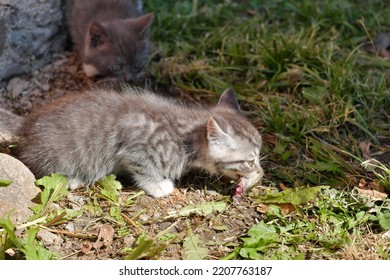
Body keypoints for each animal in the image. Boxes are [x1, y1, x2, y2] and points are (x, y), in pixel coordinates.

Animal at [16, 87, 266, 197]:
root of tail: (25, 127)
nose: (260, 172)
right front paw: (158, 186)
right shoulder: (136, 146)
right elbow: (144, 169)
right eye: (250, 161)